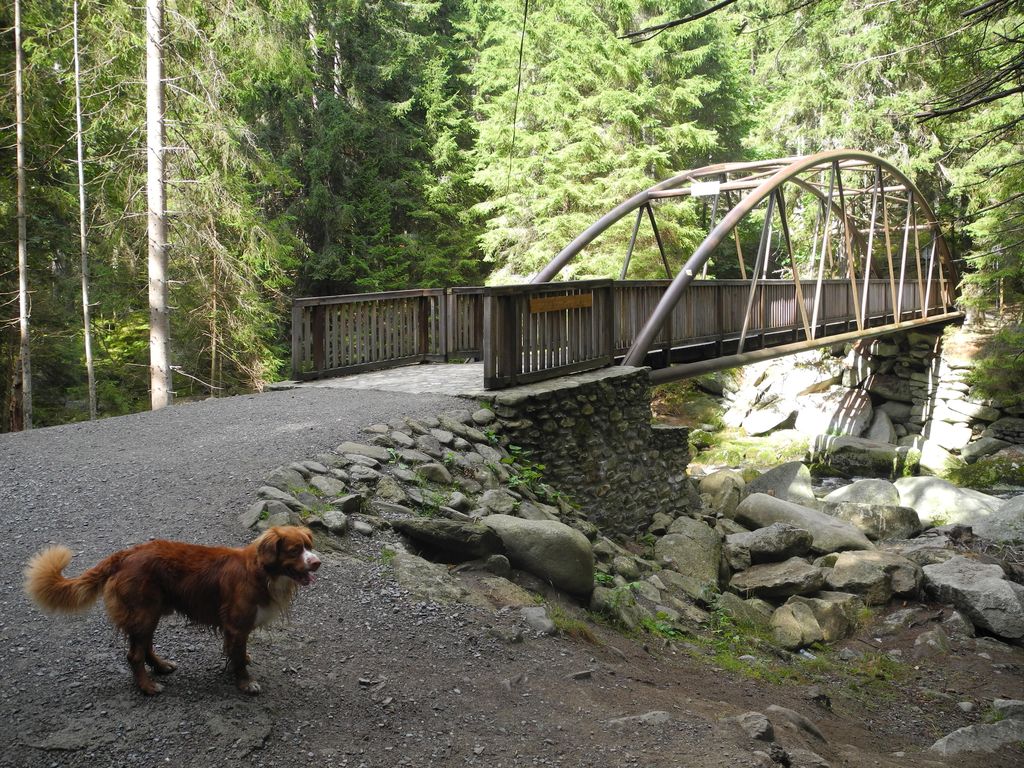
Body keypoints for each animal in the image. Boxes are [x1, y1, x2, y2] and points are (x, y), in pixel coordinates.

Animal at [24, 528, 319, 696]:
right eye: (295, 550)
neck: (261, 572)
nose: (317, 562)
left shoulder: (235, 628)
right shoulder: (236, 624)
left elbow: (236, 652)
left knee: (144, 647)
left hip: (150, 612)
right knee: (134, 654)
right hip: (144, 611)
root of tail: (125, 555)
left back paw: (161, 666)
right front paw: (245, 683)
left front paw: (242, 659)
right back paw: (147, 687)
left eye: (310, 546)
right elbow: (236, 658)